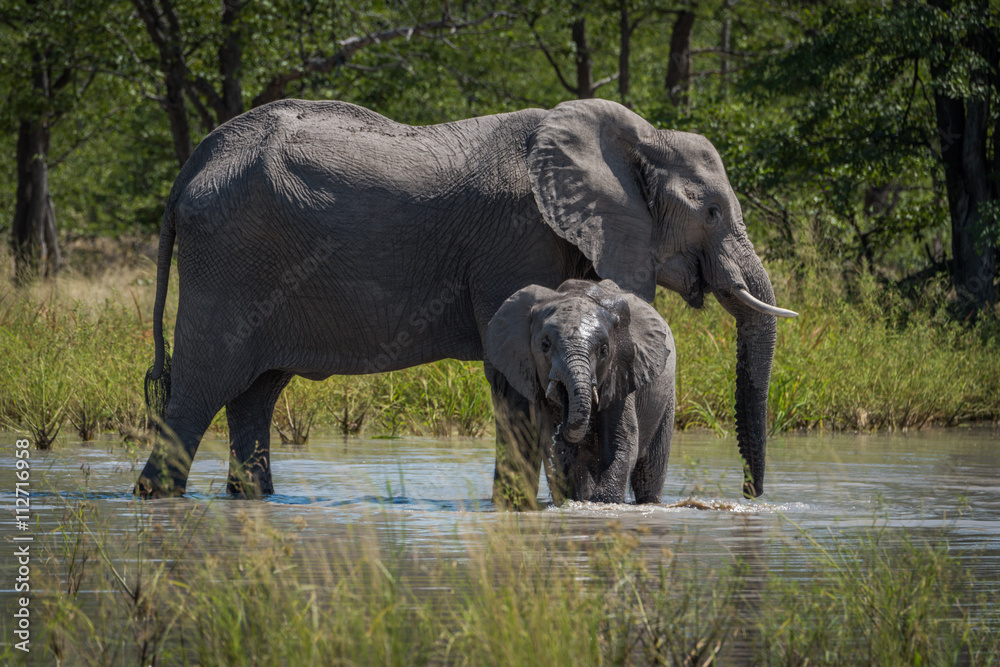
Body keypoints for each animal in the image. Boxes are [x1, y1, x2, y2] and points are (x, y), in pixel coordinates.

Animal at [486, 279, 675, 504]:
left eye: (604, 350)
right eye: (545, 345)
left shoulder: (621, 374)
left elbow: (622, 444)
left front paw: (603, 502)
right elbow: (560, 450)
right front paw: (576, 501)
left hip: (667, 396)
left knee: (650, 472)